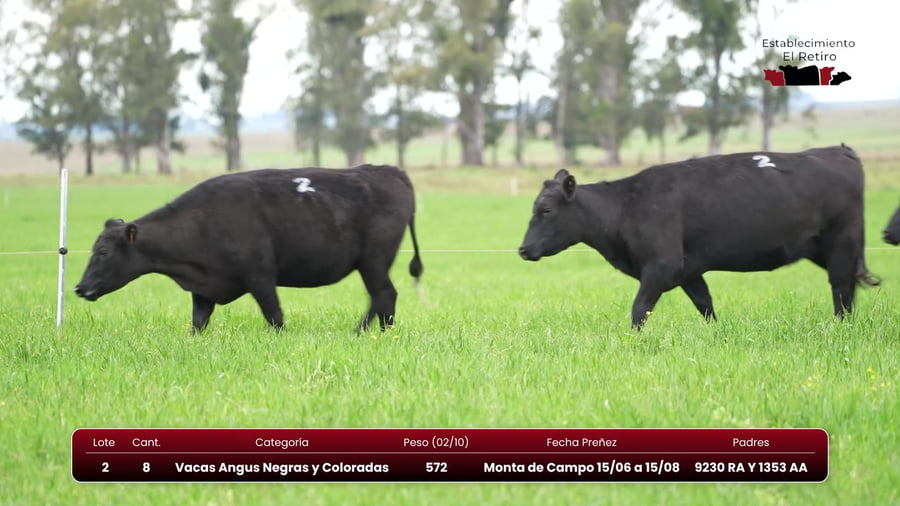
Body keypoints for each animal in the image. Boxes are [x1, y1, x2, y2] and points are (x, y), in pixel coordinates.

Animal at [75, 165, 423, 332]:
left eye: (103, 253)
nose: (79, 287)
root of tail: (389, 170)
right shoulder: (203, 289)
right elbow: (197, 324)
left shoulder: (261, 277)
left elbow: (275, 317)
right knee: (382, 297)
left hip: (373, 260)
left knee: (384, 294)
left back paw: (365, 332)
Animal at [518, 145, 879, 329]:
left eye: (546, 210)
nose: (523, 249)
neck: (628, 206)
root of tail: (838, 150)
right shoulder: (688, 271)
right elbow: (705, 304)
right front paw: (715, 334)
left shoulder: (661, 266)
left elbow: (639, 308)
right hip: (820, 247)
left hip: (841, 241)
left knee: (841, 286)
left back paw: (840, 327)